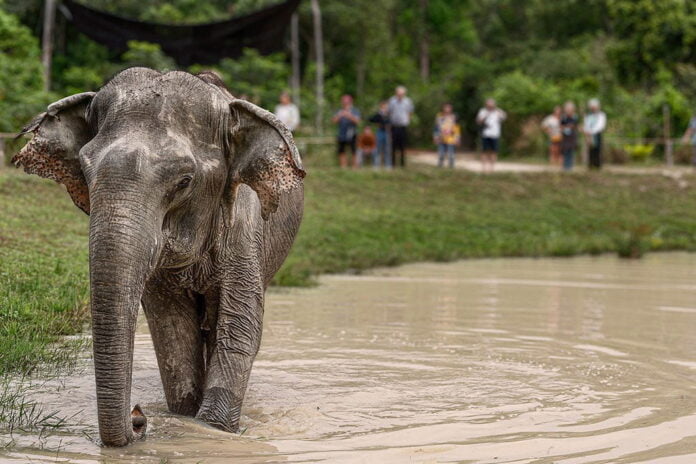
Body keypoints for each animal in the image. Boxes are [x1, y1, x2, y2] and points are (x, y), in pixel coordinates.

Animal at [11, 68, 304, 446]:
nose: (138, 417)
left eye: (184, 181)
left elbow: (240, 327)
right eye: (85, 174)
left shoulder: (244, 227)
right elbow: (172, 333)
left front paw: (210, 431)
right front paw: (185, 418)